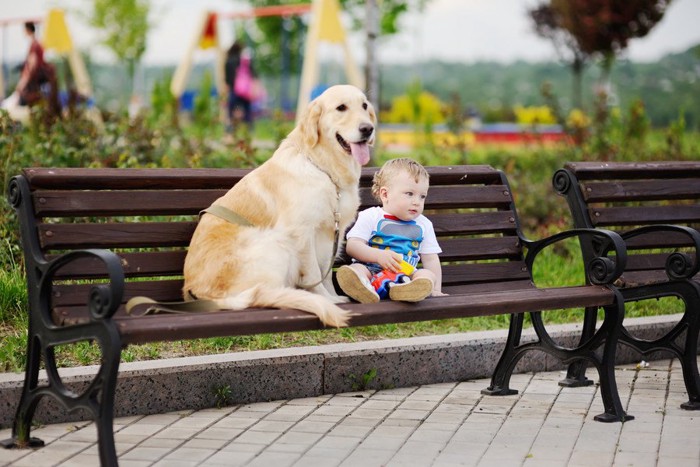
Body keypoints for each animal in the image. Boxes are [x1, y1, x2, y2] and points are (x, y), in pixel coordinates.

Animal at [182, 85, 378, 326]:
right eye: (341, 107)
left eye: (365, 106)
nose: (368, 129)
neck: (324, 169)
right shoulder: (301, 233)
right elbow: (314, 274)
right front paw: (327, 300)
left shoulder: (333, 233)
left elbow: (326, 272)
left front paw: (333, 296)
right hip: (274, 242)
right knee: (264, 294)